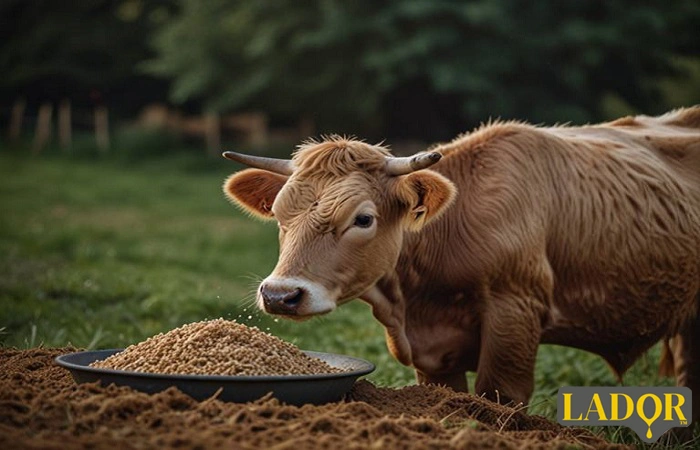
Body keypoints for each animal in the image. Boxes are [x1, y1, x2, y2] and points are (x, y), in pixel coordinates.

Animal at [221, 107, 700, 416]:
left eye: (363, 218)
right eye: (279, 214)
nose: (281, 295)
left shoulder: (515, 314)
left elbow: (499, 396)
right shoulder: (435, 357)